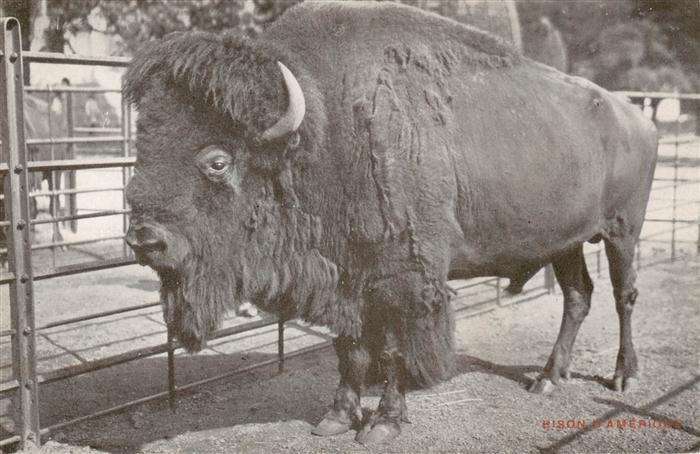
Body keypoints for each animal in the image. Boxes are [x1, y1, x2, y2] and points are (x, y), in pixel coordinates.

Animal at [123, 1, 657, 445]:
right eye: (144, 143)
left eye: (217, 161)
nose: (144, 239)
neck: (321, 131)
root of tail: (638, 118)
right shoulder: (349, 280)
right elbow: (351, 350)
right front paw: (335, 419)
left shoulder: (404, 281)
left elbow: (394, 351)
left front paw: (383, 424)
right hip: (564, 241)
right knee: (577, 296)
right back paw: (547, 379)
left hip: (622, 231)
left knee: (624, 294)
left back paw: (623, 376)